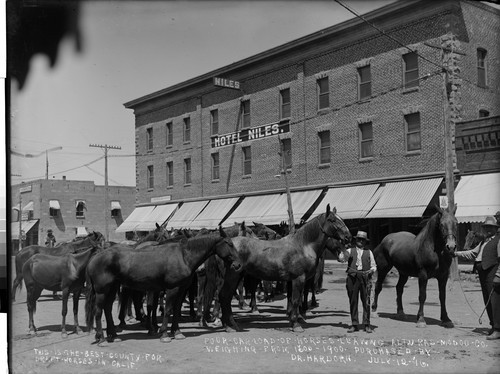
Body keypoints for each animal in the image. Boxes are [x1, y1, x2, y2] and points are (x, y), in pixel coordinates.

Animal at [86, 228, 242, 348]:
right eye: (229, 243)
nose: (238, 265)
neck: (183, 256)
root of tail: (95, 257)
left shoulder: (181, 289)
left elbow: (176, 310)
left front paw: (177, 332)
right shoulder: (172, 289)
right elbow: (167, 310)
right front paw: (165, 334)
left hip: (112, 288)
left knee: (107, 309)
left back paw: (113, 335)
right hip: (101, 291)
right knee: (98, 311)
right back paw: (102, 339)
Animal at [217, 205, 350, 334]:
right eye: (332, 220)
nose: (348, 237)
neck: (303, 246)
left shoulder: (292, 280)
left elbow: (292, 300)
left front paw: (293, 319)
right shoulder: (299, 279)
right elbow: (295, 300)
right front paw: (296, 324)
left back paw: (230, 324)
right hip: (233, 277)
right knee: (224, 296)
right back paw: (229, 325)